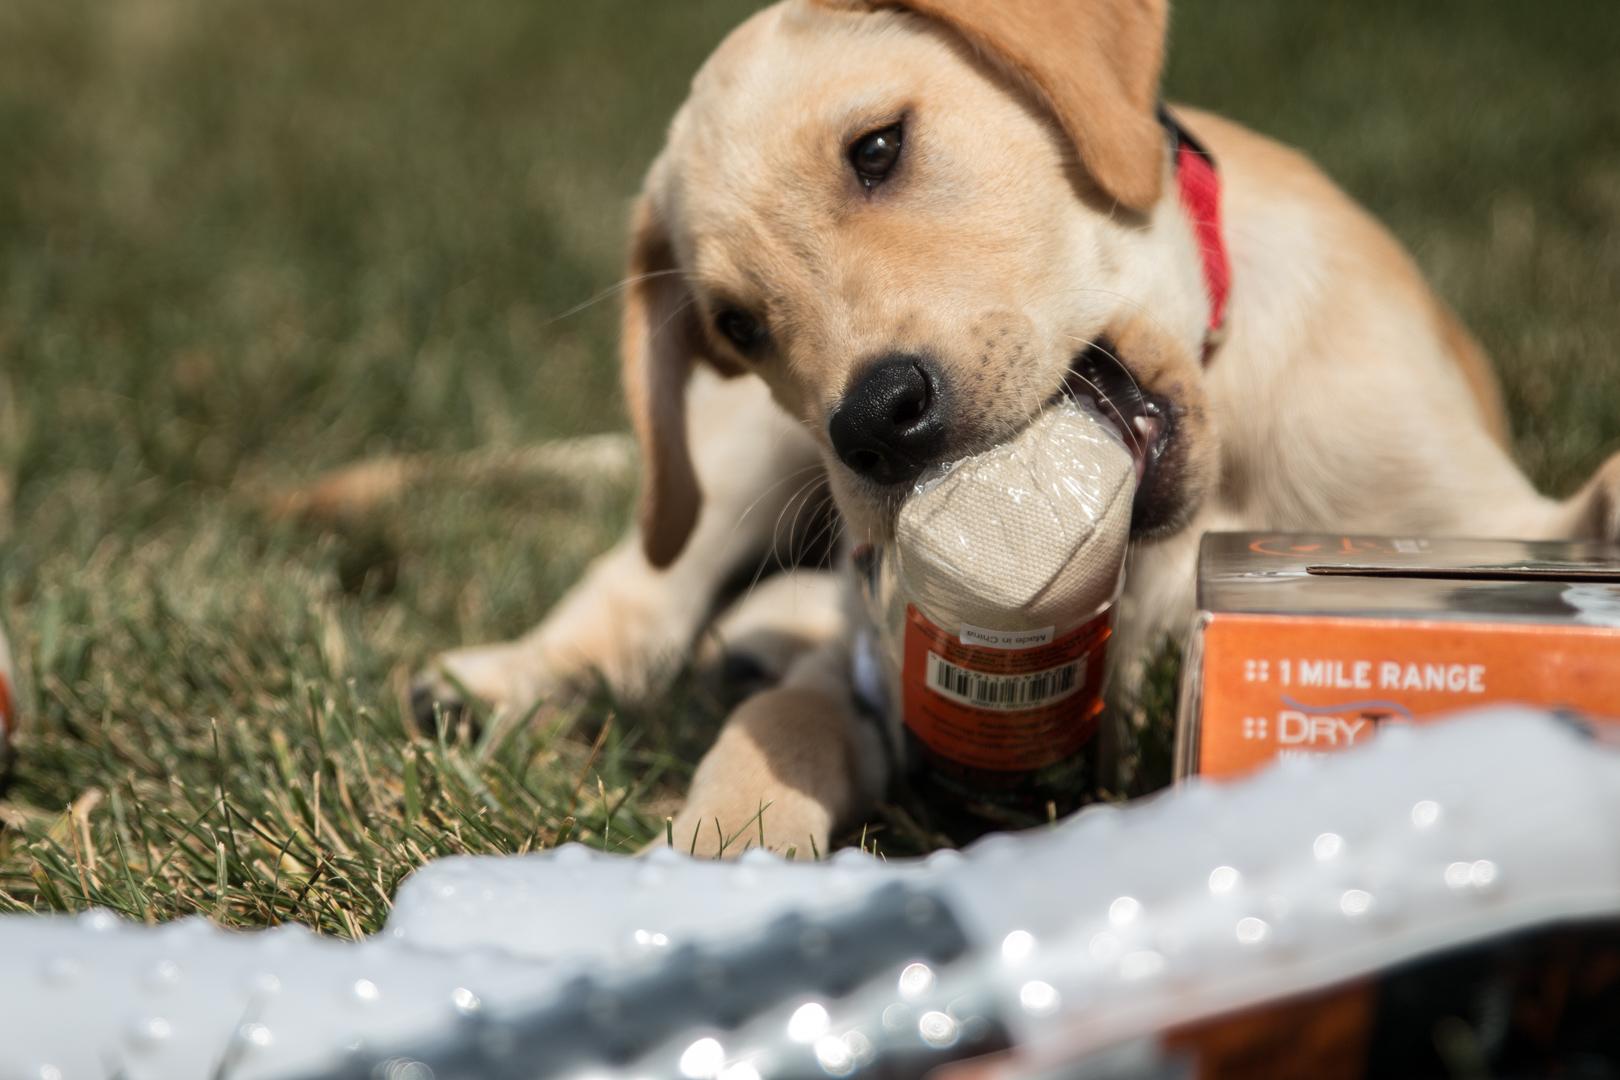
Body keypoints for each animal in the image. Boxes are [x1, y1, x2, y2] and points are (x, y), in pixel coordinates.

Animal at [411, 4, 1620, 854]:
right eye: (737, 326)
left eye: (879, 148)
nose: (875, 424)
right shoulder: (888, 672)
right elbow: (783, 728)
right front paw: (716, 850)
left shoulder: (1482, 514)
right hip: (737, 460)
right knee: (648, 583)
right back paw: (501, 679)